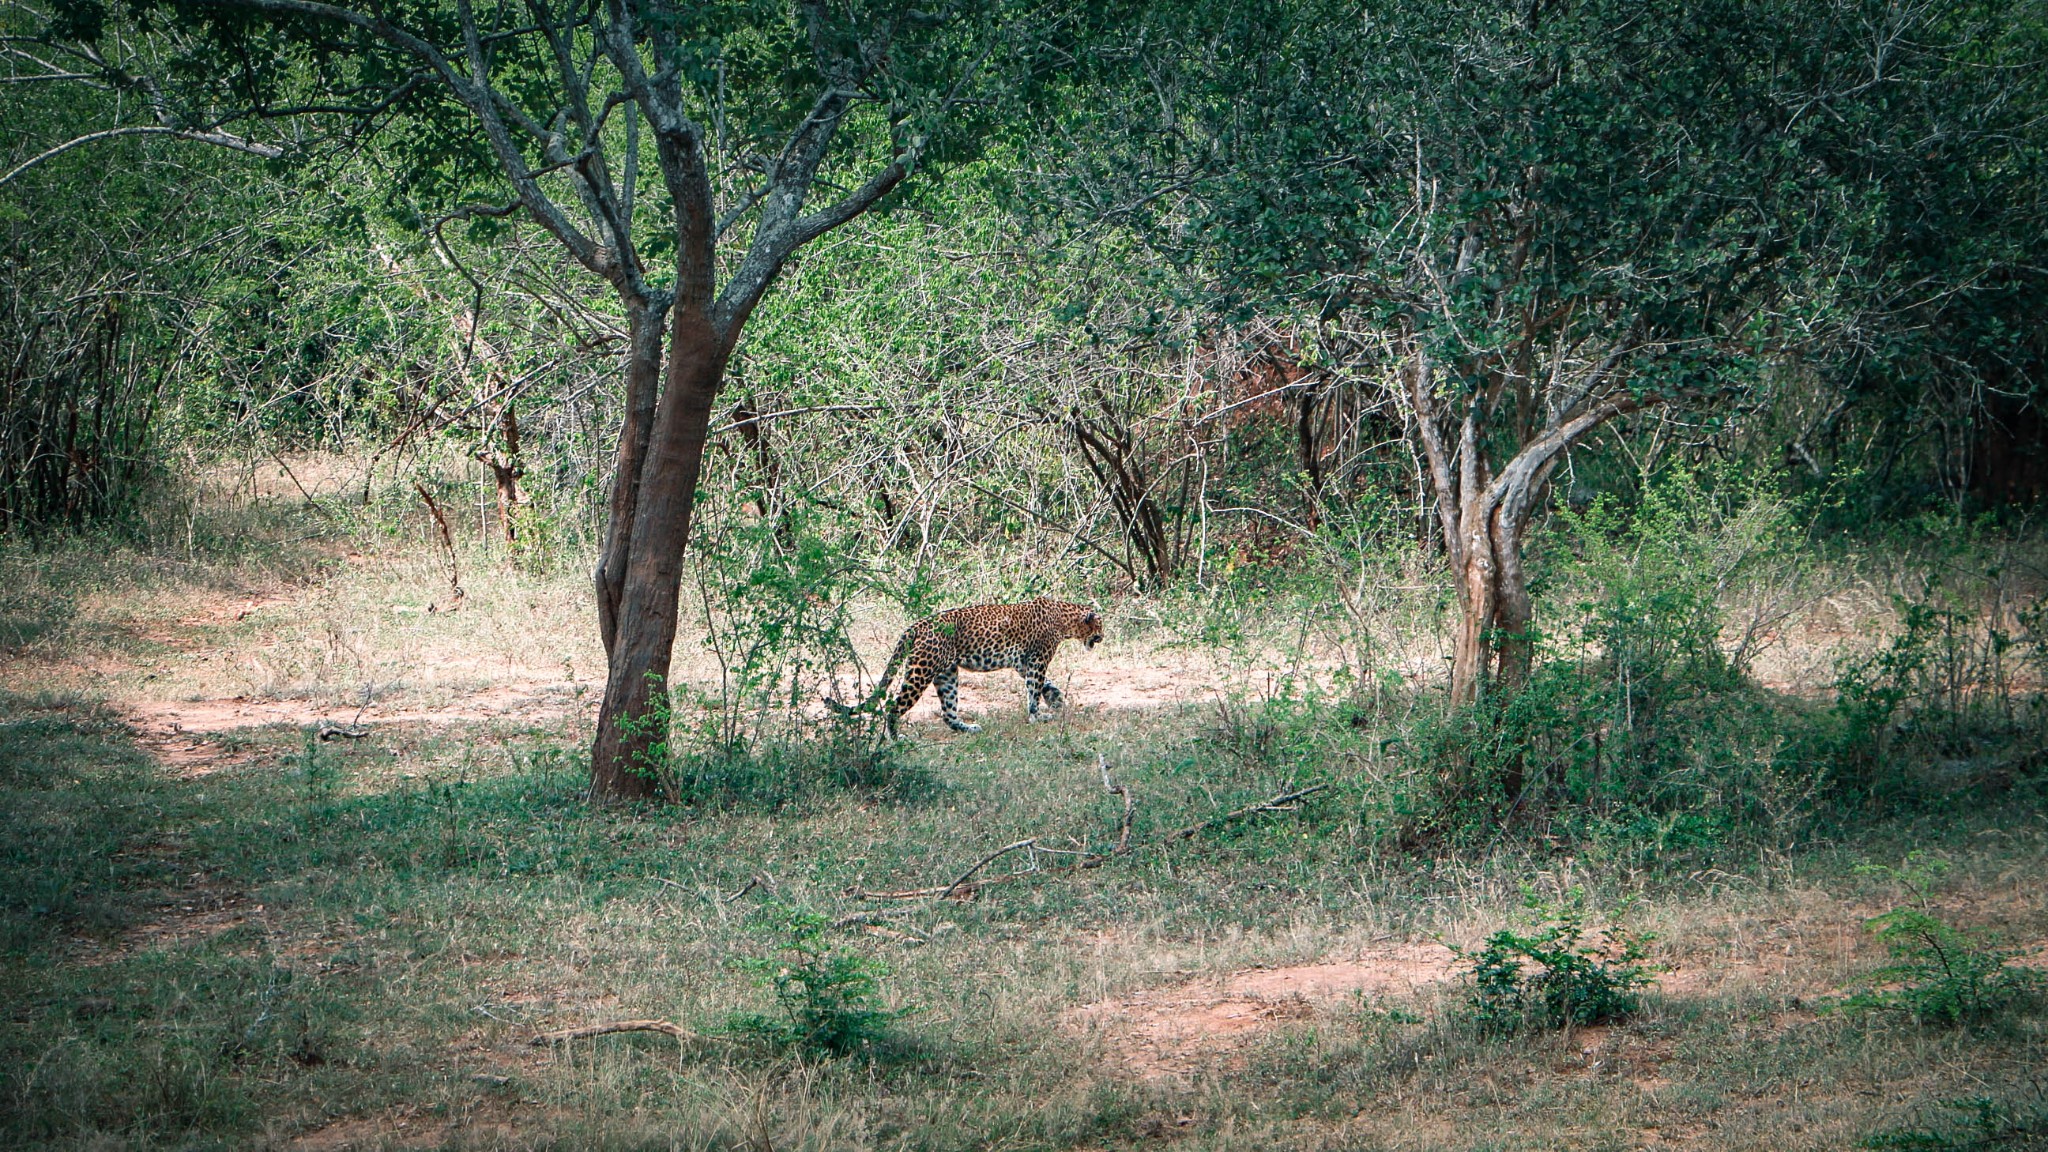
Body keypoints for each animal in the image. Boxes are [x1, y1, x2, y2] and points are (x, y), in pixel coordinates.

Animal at [823, 594, 1105, 729]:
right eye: (1100, 625)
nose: (1103, 636)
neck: (1064, 618)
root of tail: (917, 625)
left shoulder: (1023, 662)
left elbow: (1042, 684)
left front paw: (1055, 698)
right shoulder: (1038, 658)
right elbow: (1034, 688)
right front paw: (1037, 715)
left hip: (946, 673)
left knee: (948, 713)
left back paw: (968, 728)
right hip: (920, 671)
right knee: (894, 707)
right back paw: (895, 738)